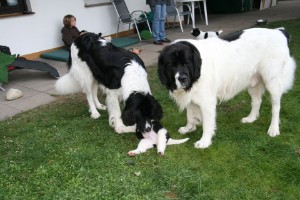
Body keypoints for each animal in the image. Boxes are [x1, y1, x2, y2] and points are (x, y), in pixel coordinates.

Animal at [158, 27, 296, 148]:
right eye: (172, 65)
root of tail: (279, 31)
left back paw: (274, 128)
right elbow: (190, 114)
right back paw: (251, 118)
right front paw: (189, 127)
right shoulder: (191, 96)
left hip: (272, 81)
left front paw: (204, 141)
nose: (183, 79)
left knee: (276, 107)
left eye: (186, 63)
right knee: (257, 101)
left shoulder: (207, 101)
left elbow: (207, 123)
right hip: (253, 82)